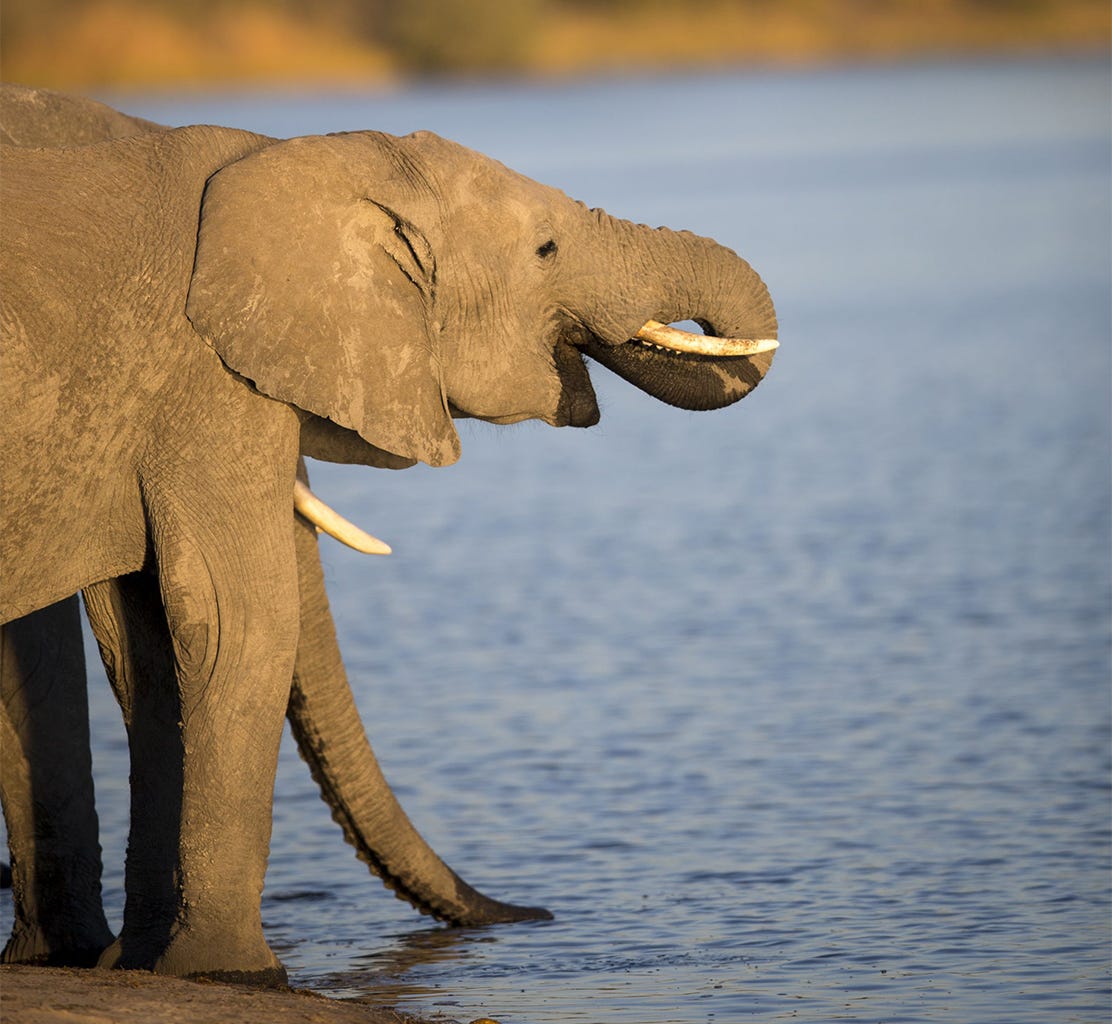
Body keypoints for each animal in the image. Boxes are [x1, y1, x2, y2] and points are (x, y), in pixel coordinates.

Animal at [0, 84, 778, 984]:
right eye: (545, 248)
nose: (540, 915)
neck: (304, 159)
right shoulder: (206, 379)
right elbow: (238, 623)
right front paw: (231, 974)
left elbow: (147, 646)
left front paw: (140, 966)